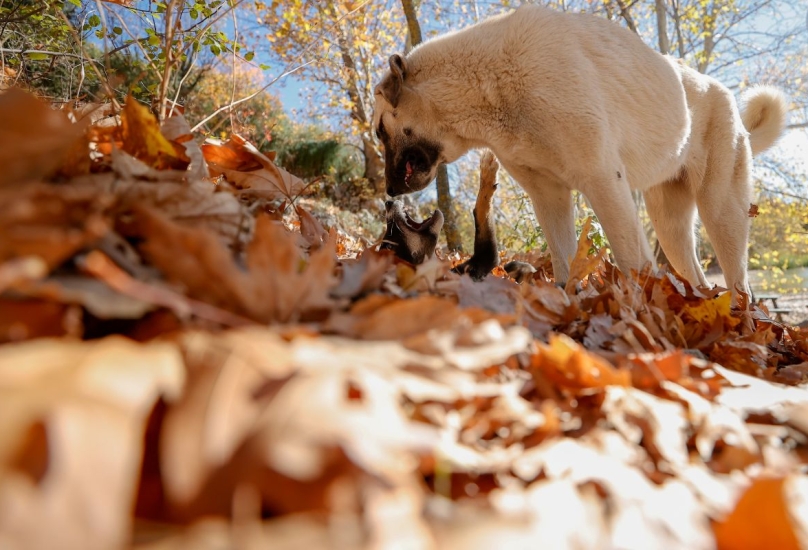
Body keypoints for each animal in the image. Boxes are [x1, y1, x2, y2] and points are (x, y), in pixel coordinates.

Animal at [374, 5, 788, 298]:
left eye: (379, 130)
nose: (389, 193)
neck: (489, 82)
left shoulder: (602, 180)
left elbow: (630, 258)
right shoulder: (549, 195)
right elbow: (562, 257)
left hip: (720, 212)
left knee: (740, 284)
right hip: (670, 225)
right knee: (697, 275)